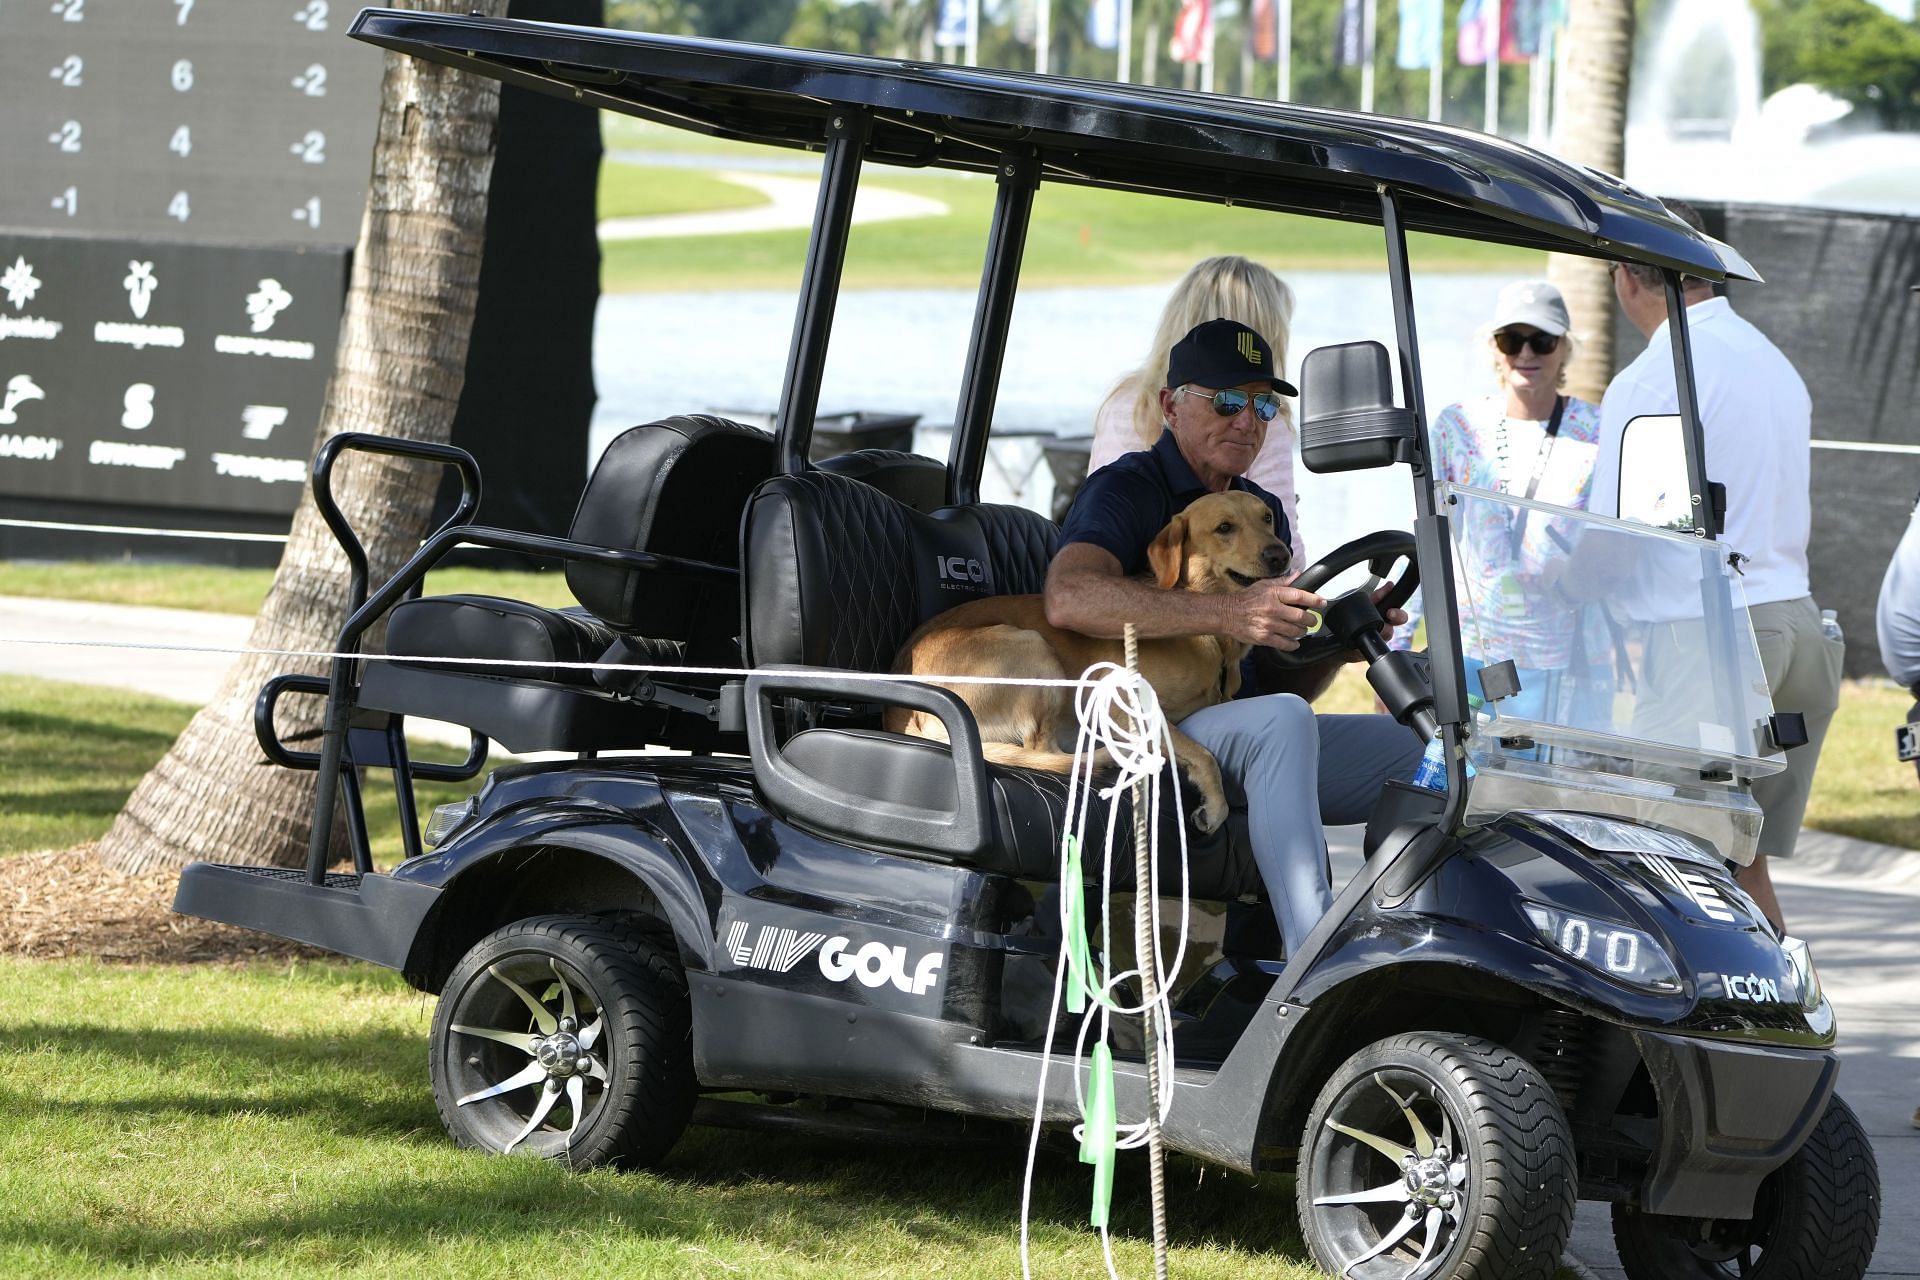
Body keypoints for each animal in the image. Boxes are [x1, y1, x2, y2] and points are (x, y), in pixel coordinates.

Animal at [883, 487, 1290, 832]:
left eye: (1267, 517)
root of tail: (905, 715)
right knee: (1044, 750)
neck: (1210, 634)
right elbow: (1204, 755)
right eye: (1224, 528)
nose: (1280, 555)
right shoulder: (1122, 706)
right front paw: (1216, 805)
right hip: (1030, 646)